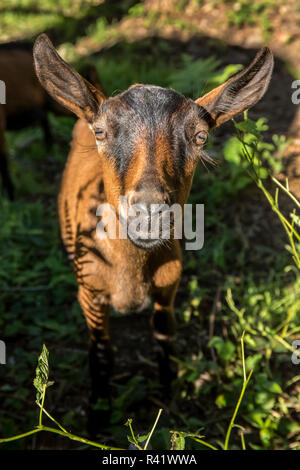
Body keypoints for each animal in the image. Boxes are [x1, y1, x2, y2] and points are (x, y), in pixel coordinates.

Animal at [33, 33, 274, 436]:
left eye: (200, 136)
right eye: (102, 132)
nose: (148, 211)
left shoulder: (168, 287)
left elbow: (166, 341)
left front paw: (169, 405)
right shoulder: (90, 294)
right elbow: (101, 353)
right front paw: (97, 419)